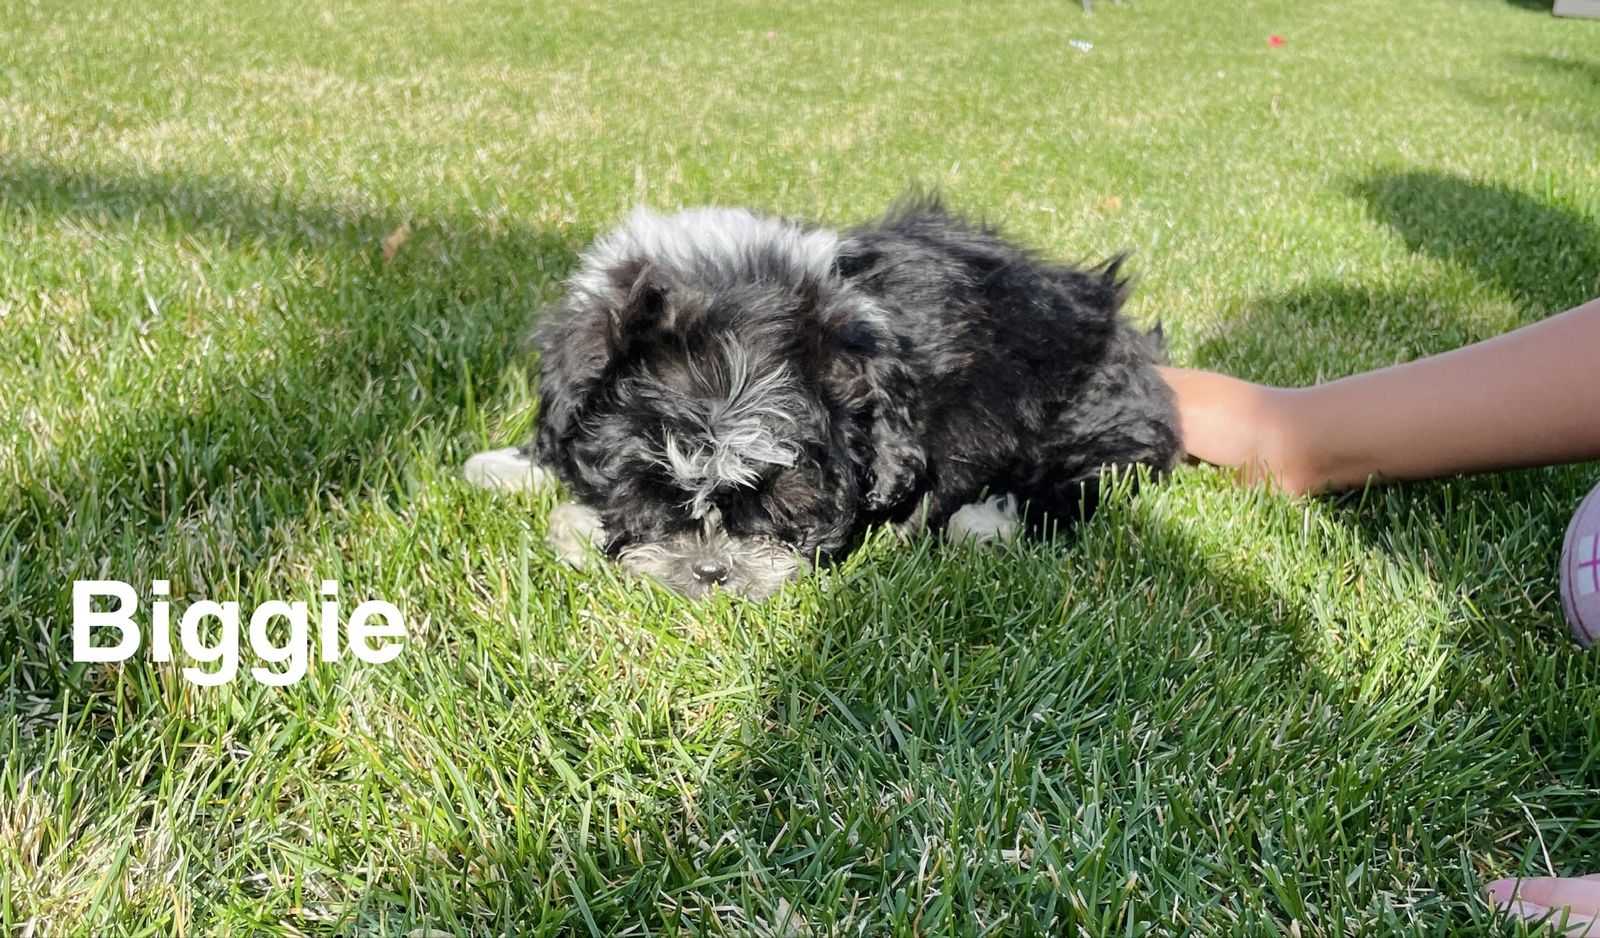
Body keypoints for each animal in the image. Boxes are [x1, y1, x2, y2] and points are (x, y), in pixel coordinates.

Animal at [466, 197, 1181, 599]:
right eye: (655, 493)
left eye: (782, 507)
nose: (711, 572)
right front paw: (515, 469)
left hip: (1089, 413)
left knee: (1088, 476)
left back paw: (987, 521)